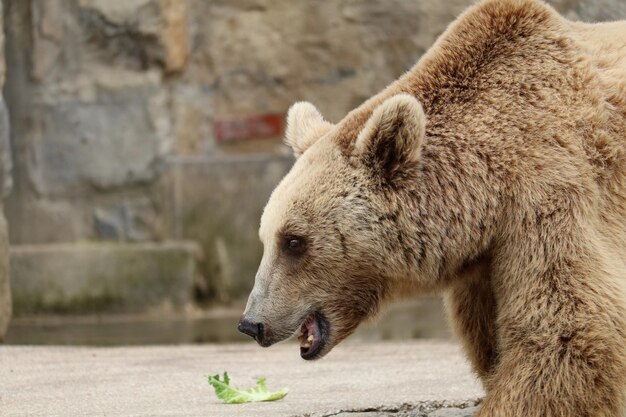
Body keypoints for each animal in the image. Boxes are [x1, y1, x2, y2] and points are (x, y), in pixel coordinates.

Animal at [236, 0, 620, 412]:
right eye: (265, 237)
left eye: (294, 241)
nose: (251, 323)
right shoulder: (486, 262)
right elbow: (487, 333)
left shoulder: (550, 190)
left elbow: (567, 330)